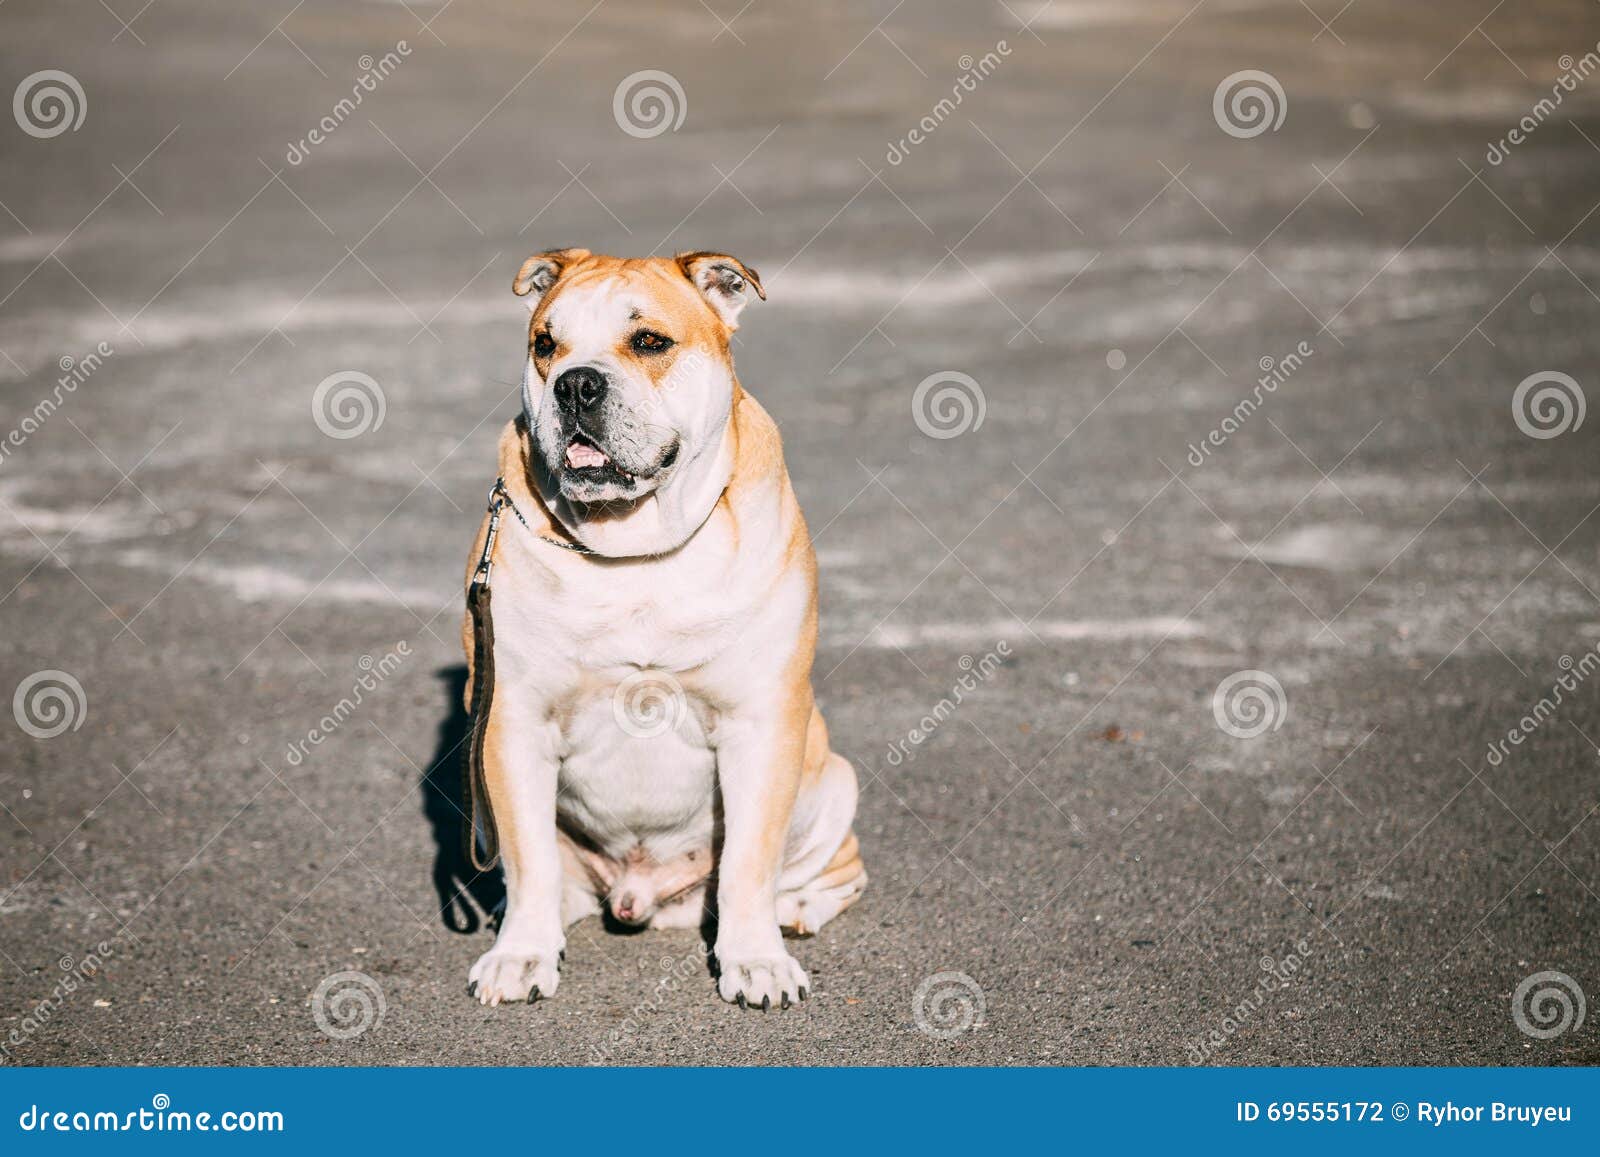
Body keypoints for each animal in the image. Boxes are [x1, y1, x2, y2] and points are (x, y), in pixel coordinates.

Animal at [460, 249, 864, 1011]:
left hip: (831, 784)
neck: (633, 547)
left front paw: (756, 960)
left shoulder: (762, 721)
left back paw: (796, 909)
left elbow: (748, 863)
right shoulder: (512, 720)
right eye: (545, 344)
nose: (575, 384)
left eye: (648, 342)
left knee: (832, 870)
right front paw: (522, 953)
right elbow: (527, 858)